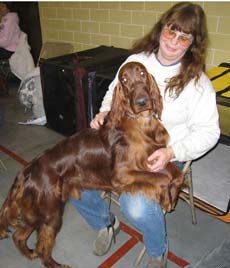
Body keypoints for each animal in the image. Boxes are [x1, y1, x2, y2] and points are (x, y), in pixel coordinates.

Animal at [0, 61, 183, 268]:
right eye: (124, 79)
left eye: (142, 73)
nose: (142, 101)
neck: (141, 122)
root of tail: (27, 170)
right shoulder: (122, 174)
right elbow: (161, 178)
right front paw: (166, 197)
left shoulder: (155, 156)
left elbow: (177, 174)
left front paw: (172, 195)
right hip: (50, 213)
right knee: (40, 247)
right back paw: (54, 264)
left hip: (41, 212)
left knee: (18, 236)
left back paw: (29, 254)